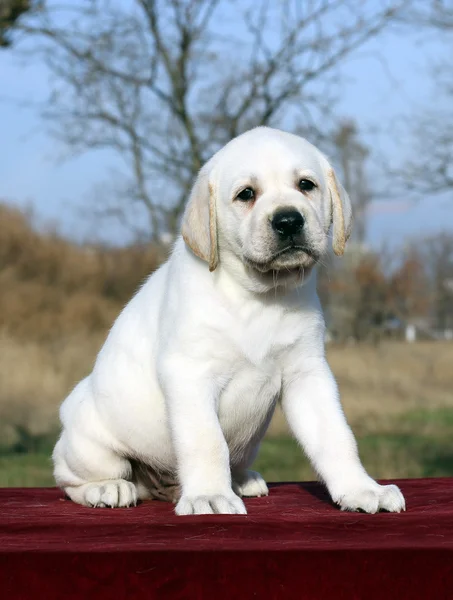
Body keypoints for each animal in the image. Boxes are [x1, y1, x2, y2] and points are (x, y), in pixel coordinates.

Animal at [52, 126, 402, 516]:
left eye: (306, 185)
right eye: (246, 194)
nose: (289, 220)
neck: (260, 296)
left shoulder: (308, 373)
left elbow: (336, 436)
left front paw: (361, 489)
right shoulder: (189, 373)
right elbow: (207, 441)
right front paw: (208, 495)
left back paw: (242, 480)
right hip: (90, 444)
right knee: (68, 479)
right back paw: (108, 488)